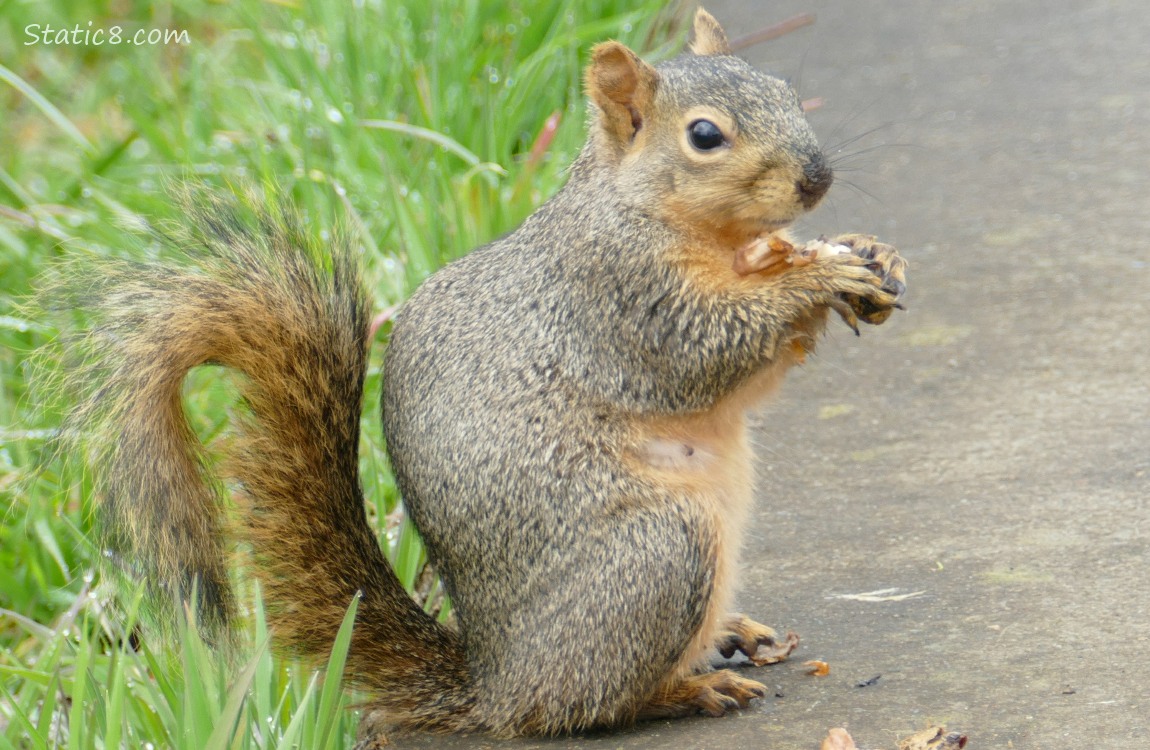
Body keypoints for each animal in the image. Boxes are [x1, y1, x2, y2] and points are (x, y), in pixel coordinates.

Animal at [44, 7, 906, 745]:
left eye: (784, 91)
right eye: (704, 136)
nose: (817, 178)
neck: (657, 213)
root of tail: (495, 683)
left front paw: (864, 253)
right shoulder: (623, 299)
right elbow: (708, 352)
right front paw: (819, 277)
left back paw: (730, 634)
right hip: (659, 552)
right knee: (589, 703)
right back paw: (689, 687)